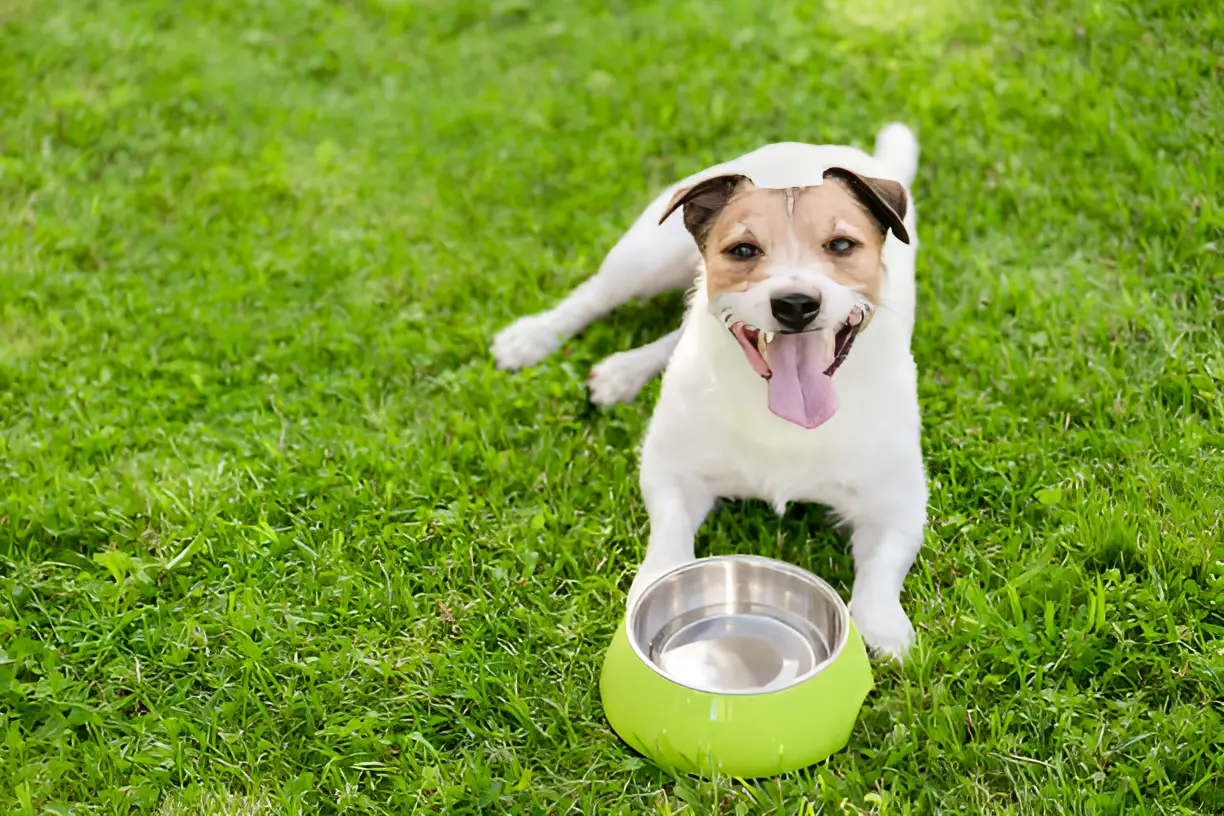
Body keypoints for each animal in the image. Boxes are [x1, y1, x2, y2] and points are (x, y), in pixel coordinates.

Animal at [492, 124, 920, 660]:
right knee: (595, 295)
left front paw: (882, 629)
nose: (795, 303)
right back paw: (533, 338)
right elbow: (670, 539)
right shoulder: (672, 471)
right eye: (743, 250)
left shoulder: (898, 506)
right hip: (646, 256)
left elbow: (881, 572)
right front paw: (655, 588)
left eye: (841, 244)